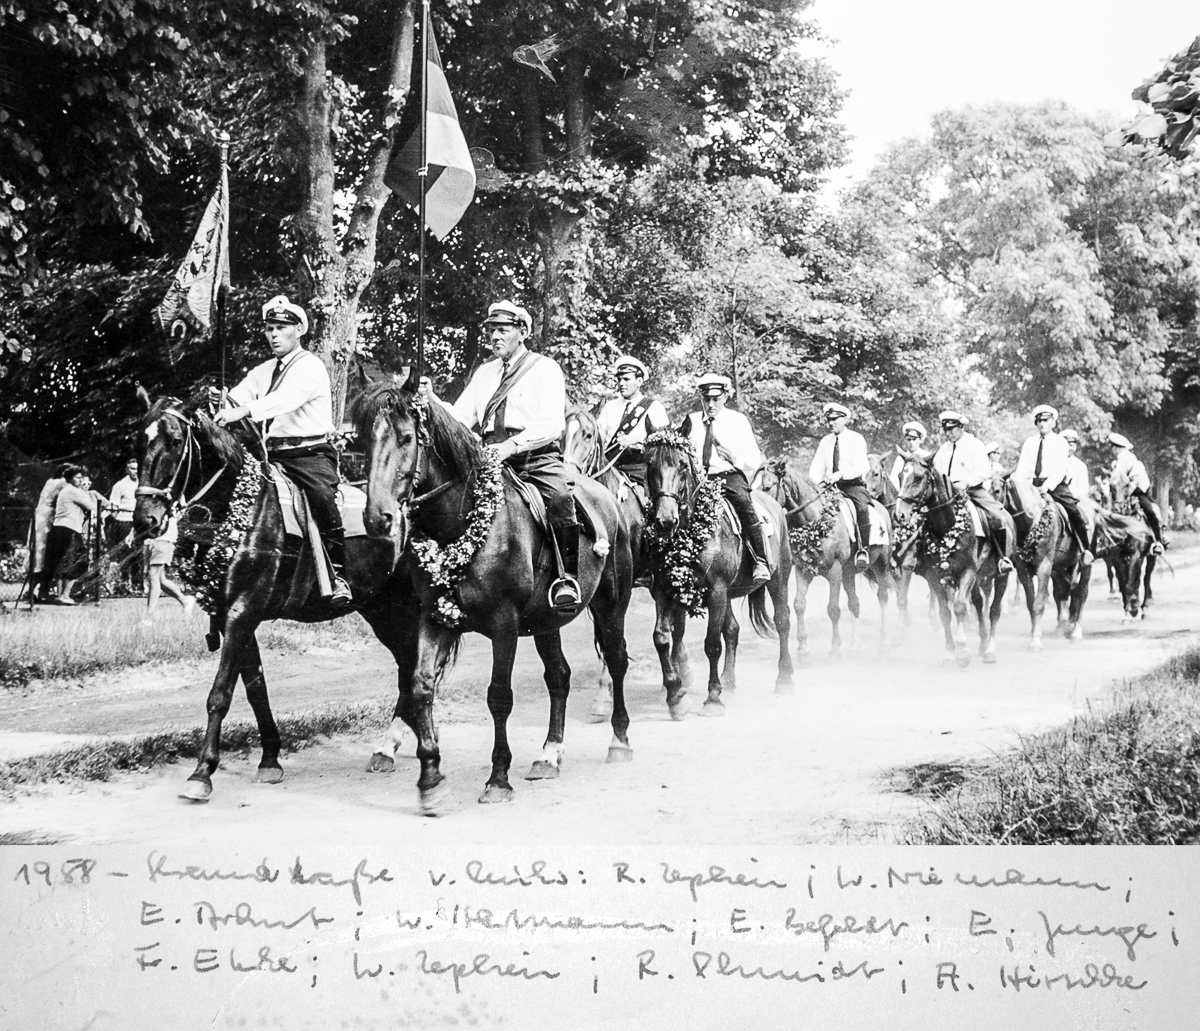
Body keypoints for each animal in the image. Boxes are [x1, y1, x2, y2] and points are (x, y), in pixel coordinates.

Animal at [134, 391, 400, 801]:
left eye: (176, 441)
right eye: (138, 441)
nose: (144, 519)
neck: (244, 512)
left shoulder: (242, 612)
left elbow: (220, 694)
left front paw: (202, 772)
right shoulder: (233, 619)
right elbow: (255, 687)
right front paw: (270, 758)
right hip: (380, 608)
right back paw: (390, 748)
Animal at [352, 381, 638, 816]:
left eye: (405, 438)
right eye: (366, 440)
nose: (377, 517)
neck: (464, 522)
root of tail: (606, 499)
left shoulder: (504, 625)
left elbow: (499, 697)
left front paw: (498, 778)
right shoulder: (434, 617)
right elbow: (420, 687)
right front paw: (430, 780)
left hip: (611, 604)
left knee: (617, 661)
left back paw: (619, 741)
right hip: (547, 622)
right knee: (559, 677)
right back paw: (549, 755)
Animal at [643, 429, 792, 715]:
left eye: (683, 465)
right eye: (649, 465)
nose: (665, 520)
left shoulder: (716, 592)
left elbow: (712, 644)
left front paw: (712, 698)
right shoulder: (664, 591)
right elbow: (661, 638)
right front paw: (676, 697)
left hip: (778, 581)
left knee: (782, 622)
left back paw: (784, 678)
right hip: (730, 594)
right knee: (732, 630)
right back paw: (730, 684)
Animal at [763, 458, 897, 662]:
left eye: (767, 486)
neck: (815, 522)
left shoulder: (834, 570)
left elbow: (833, 609)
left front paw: (834, 649)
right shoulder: (803, 570)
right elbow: (799, 605)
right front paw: (803, 649)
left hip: (881, 565)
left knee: (882, 597)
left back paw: (883, 642)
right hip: (849, 574)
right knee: (854, 604)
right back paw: (854, 645)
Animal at [897, 453, 1008, 667]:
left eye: (918, 477)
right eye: (900, 475)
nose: (900, 514)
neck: (947, 525)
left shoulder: (968, 572)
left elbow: (959, 607)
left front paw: (963, 651)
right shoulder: (935, 576)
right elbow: (945, 613)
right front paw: (949, 653)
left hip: (1001, 577)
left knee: (994, 610)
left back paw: (989, 650)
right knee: (979, 603)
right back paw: (982, 643)